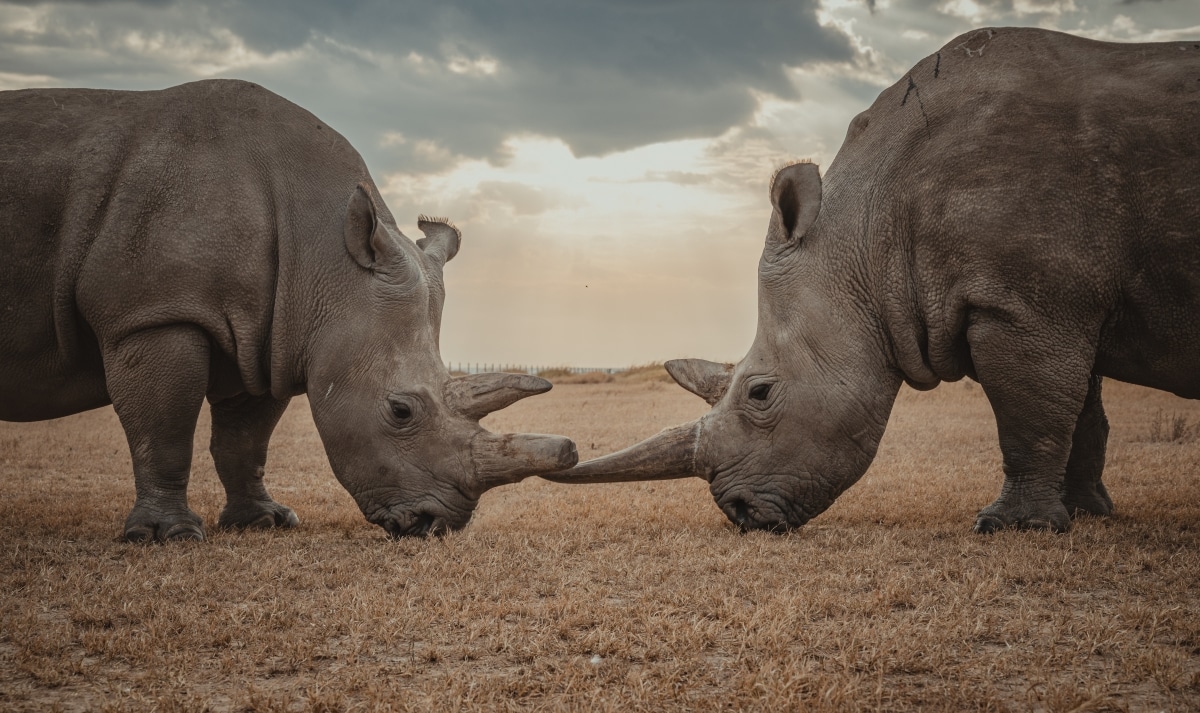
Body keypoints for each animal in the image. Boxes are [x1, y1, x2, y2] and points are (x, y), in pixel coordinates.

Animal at [0, 79, 580, 537]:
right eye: (400, 411)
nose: (436, 524)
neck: (324, 254)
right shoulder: (152, 312)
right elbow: (162, 428)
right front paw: (168, 535)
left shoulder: (266, 334)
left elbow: (246, 439)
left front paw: (265, 521)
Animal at [549, 27, 1200, 532]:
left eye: (759, 393)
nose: (741, 514)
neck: (870, 231)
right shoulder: (1056, 302)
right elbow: (1081, 412)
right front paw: (1085, 513)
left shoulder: (1023, 303)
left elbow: (1029, 416)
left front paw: (1010, 526)